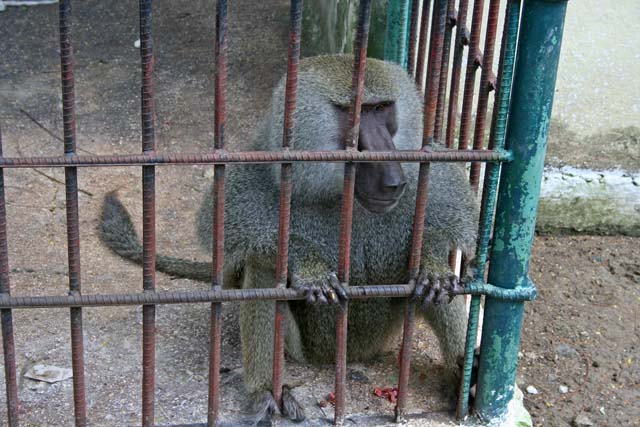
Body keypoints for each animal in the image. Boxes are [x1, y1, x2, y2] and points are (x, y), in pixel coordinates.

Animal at [100, 54, 478, 423]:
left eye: (381, 108)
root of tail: (340, 359)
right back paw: (267, 390)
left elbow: (447, 239)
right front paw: (310, 268)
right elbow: (227, 236)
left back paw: (462, 376)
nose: (392, 181)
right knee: (263, 271)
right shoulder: (258, 170)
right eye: (353, 113)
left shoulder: (429, 167)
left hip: (384, 335)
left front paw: (432, 266)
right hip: (301, 349)